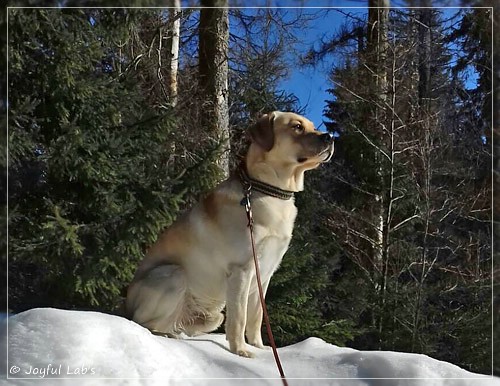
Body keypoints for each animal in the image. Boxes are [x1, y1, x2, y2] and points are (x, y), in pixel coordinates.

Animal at [127, 110, 334, 358]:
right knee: (141, 322)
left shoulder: (264, 275)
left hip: (212, 316)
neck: (269, 191)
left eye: (312, 126)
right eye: (297, 127)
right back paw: (164, 334)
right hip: (173, 274)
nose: (330, 137)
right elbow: (240, 317)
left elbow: (256, 317)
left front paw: (260, 347)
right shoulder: (241, 270)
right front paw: (241, 351)